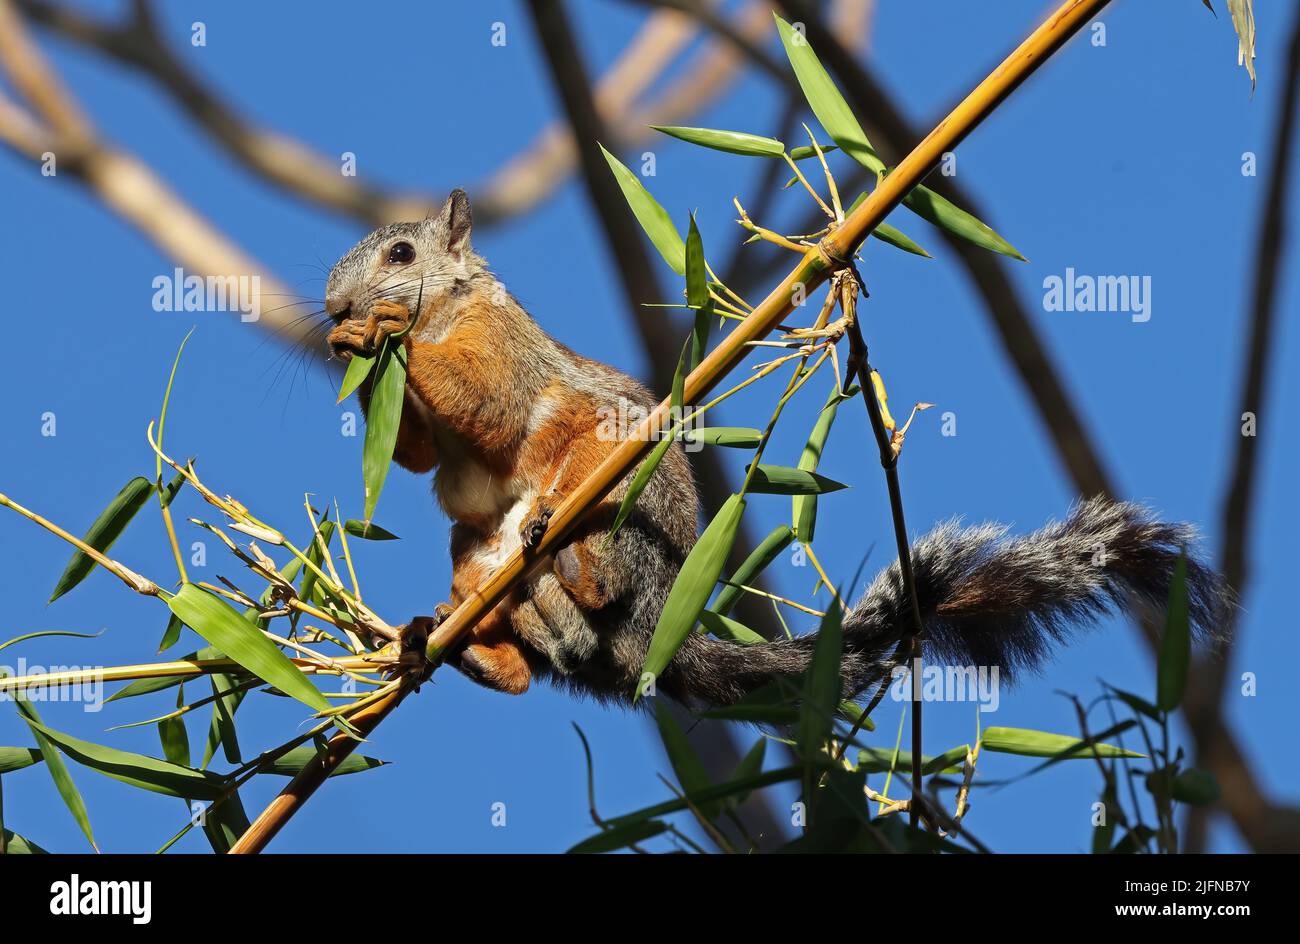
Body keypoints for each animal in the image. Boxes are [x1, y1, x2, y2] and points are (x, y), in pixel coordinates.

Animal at [325, 190, 1228, 705]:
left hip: (629, 508)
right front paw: (353, 351)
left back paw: (570, 556)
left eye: (401, 254)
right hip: (476, 553)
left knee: (598, 581)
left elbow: (486, 404)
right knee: (529, 661)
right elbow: (414, 453)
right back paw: (448, 641)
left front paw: (377, 330)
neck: (451, 306)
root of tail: (654, 631)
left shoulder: (503, 348)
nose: (333, 306)